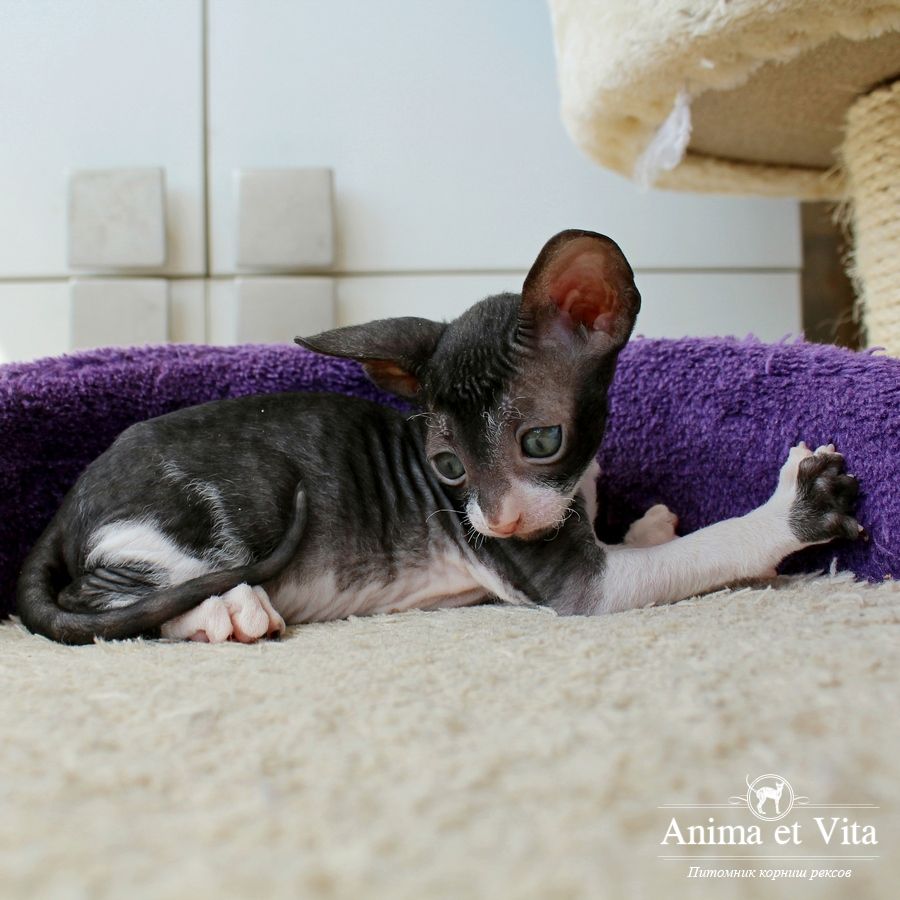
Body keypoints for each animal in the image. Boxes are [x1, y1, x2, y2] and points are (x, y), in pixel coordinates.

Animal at [16, 229, 861, 644]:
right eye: (448, 467)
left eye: (541, 442)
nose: (500, 521)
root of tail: (69, 500)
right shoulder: (576, 585)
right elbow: (701, 553)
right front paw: (794, 511)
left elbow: (631, 535)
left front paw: (646, 523)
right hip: (222, 512)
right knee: (113, 599)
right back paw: (222, 610)